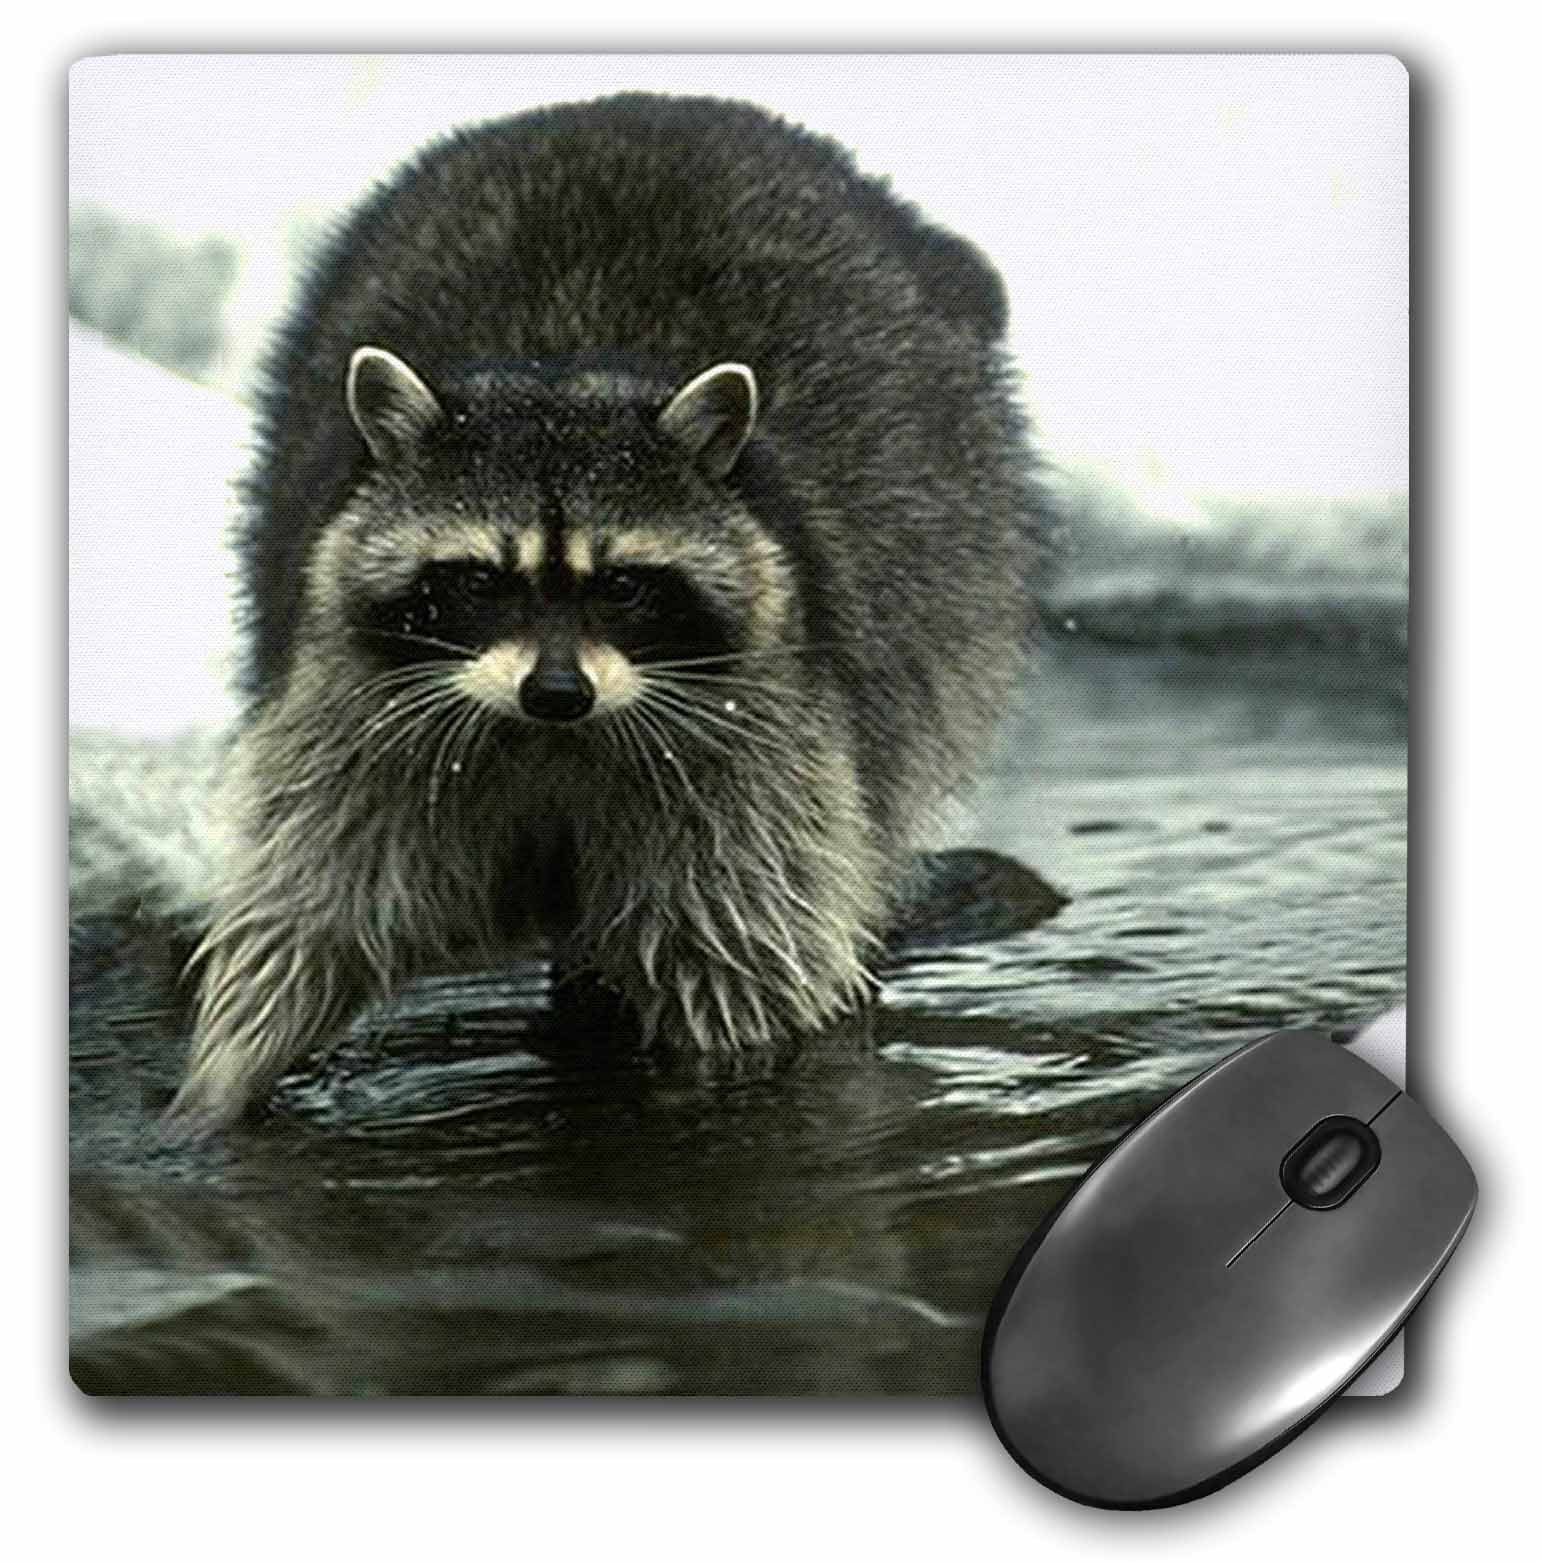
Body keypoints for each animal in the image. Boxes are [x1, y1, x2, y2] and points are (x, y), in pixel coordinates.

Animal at [171, 93, 1044, 1127]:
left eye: (622, 584)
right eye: (480, 582)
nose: (557, 692)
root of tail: (647, 104)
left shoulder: (756, 748)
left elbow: (744, 967)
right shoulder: (357, 728)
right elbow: (299, 936)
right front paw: (212, 1102)